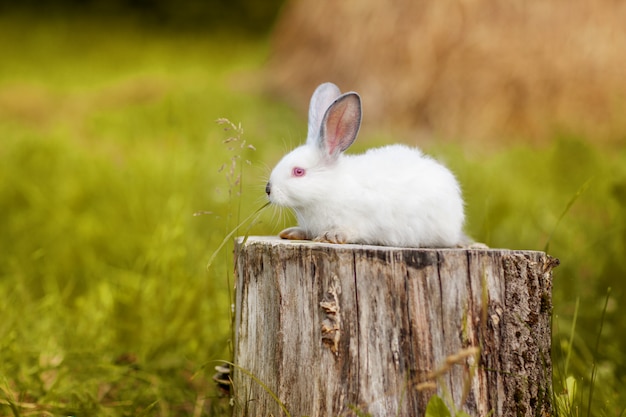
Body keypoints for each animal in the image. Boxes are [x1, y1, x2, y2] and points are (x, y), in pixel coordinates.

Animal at [264, 81, 464, 247]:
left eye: (298, 171)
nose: (268, 189)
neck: (329, 190)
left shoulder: (363, 221)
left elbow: (352, 231)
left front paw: (332, 236)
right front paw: (292, 233)